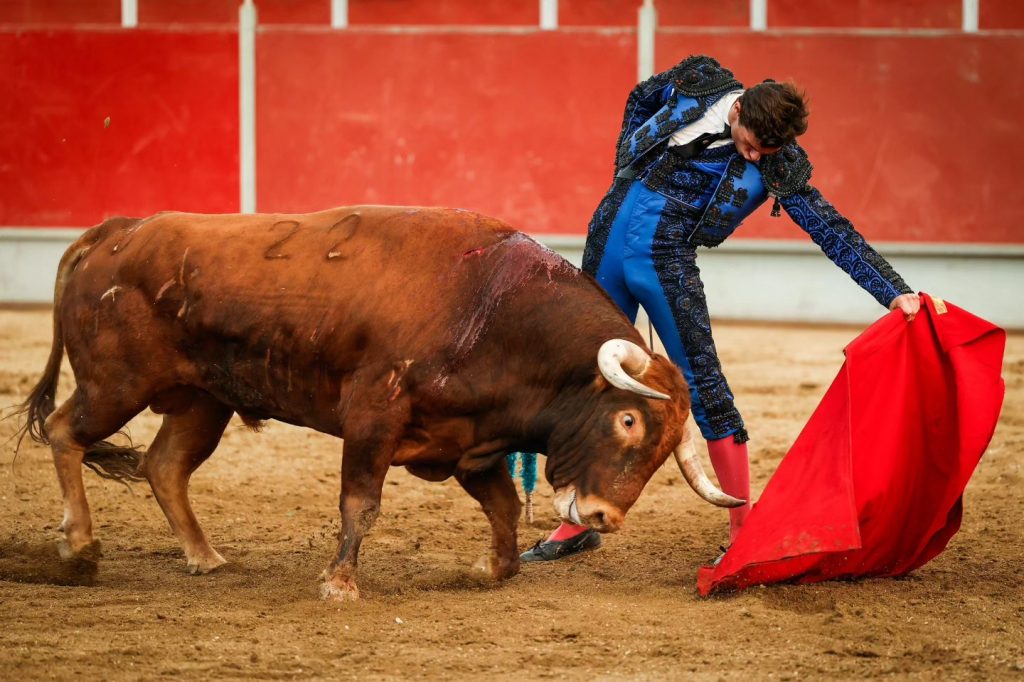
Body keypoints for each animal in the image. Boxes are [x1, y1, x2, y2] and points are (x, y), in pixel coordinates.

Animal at [14, 204, 737, 598]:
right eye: (627, 419)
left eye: (664, 451)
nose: (603, 517)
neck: (490, 307)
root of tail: (118, 231)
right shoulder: (372, 418)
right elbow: (360, 504)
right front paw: (339, 584)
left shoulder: (469, 443)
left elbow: (503, 505)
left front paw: (492, 568)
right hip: (116, 384)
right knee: (66, 431)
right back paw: (80, 547)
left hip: (202, 401)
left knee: (164, 465)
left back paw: (204, 557)